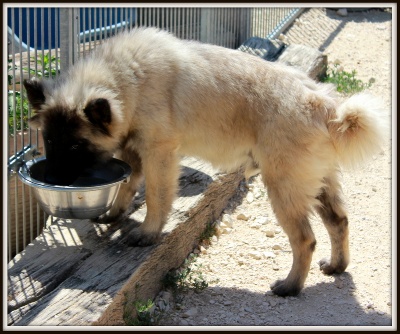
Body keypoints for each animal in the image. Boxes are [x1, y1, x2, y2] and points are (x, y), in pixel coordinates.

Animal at [23, 27, 390, 296]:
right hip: (317, 183)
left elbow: (155, 198)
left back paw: (290, 287)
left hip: (284, 189)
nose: (52, 178)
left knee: (305, 239)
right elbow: (127, 187)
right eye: (50, 140)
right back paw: (337, 266)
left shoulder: (158, 154)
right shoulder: (132, 152)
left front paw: (148, 232)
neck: (127, 78)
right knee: (338, 222)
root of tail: (326, 106)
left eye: (75, 146)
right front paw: (114, 214)